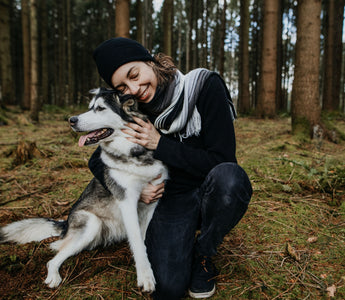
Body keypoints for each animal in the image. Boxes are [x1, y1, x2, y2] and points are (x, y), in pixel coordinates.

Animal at [0, 88, 167, 292]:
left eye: (100, 108)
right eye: (89, 107)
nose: (71, 120)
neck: (136, 154)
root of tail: (66, 223)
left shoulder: (152, 202)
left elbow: (142, 240)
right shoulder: (127, 202)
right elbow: (136, 240)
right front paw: (145, 276)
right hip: (91, 223)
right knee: (53, 259)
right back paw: (53, 277)